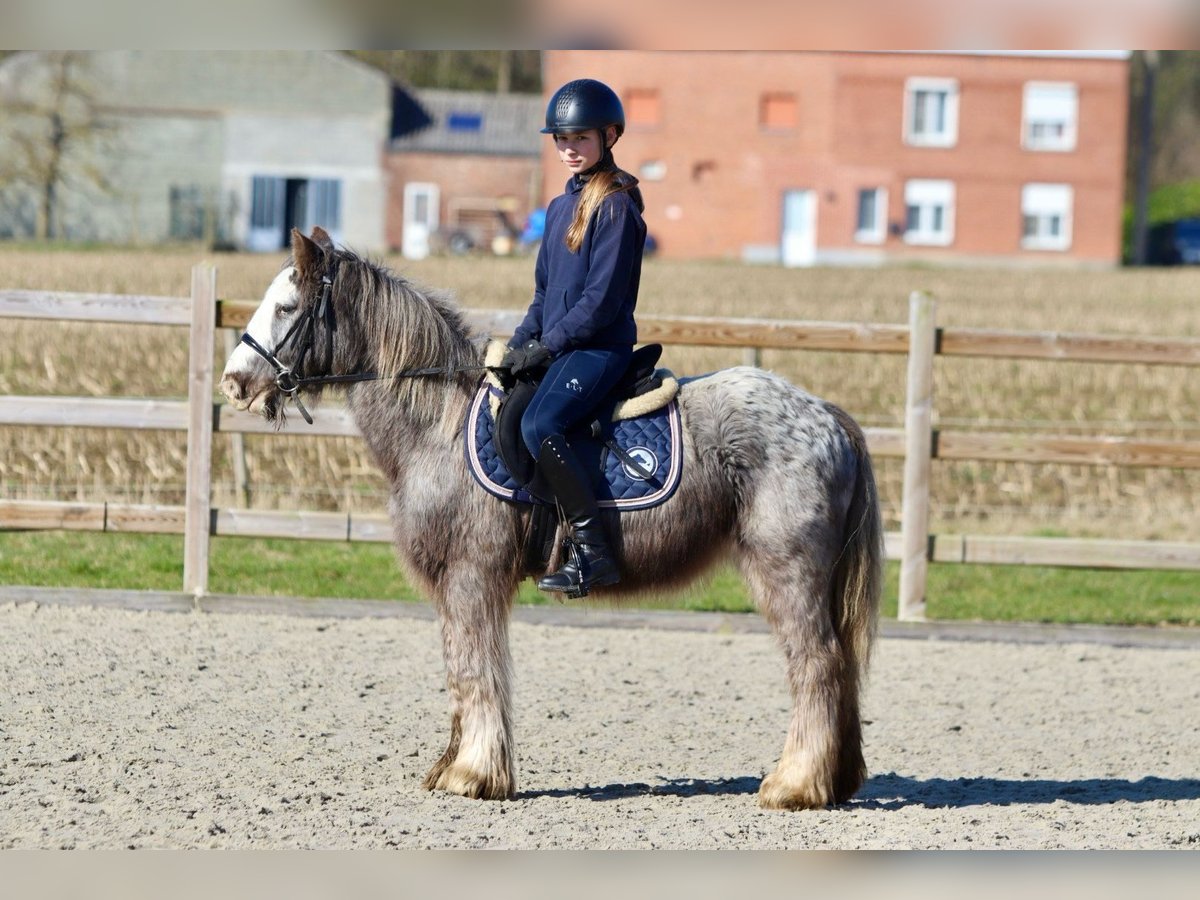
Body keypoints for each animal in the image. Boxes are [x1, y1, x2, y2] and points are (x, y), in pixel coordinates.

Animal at [220, 229, 888, 816]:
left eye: (286, 306)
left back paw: (794, 785)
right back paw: (834, 781)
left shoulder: (473, 575)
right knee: (840, 668)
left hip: (786, 571)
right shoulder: (453, 585)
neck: (437, 423)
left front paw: (474, 774)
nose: (233, 382)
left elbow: (477, 670)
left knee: (817, 665)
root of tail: (825, 414)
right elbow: (459, 670)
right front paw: (454, 766)